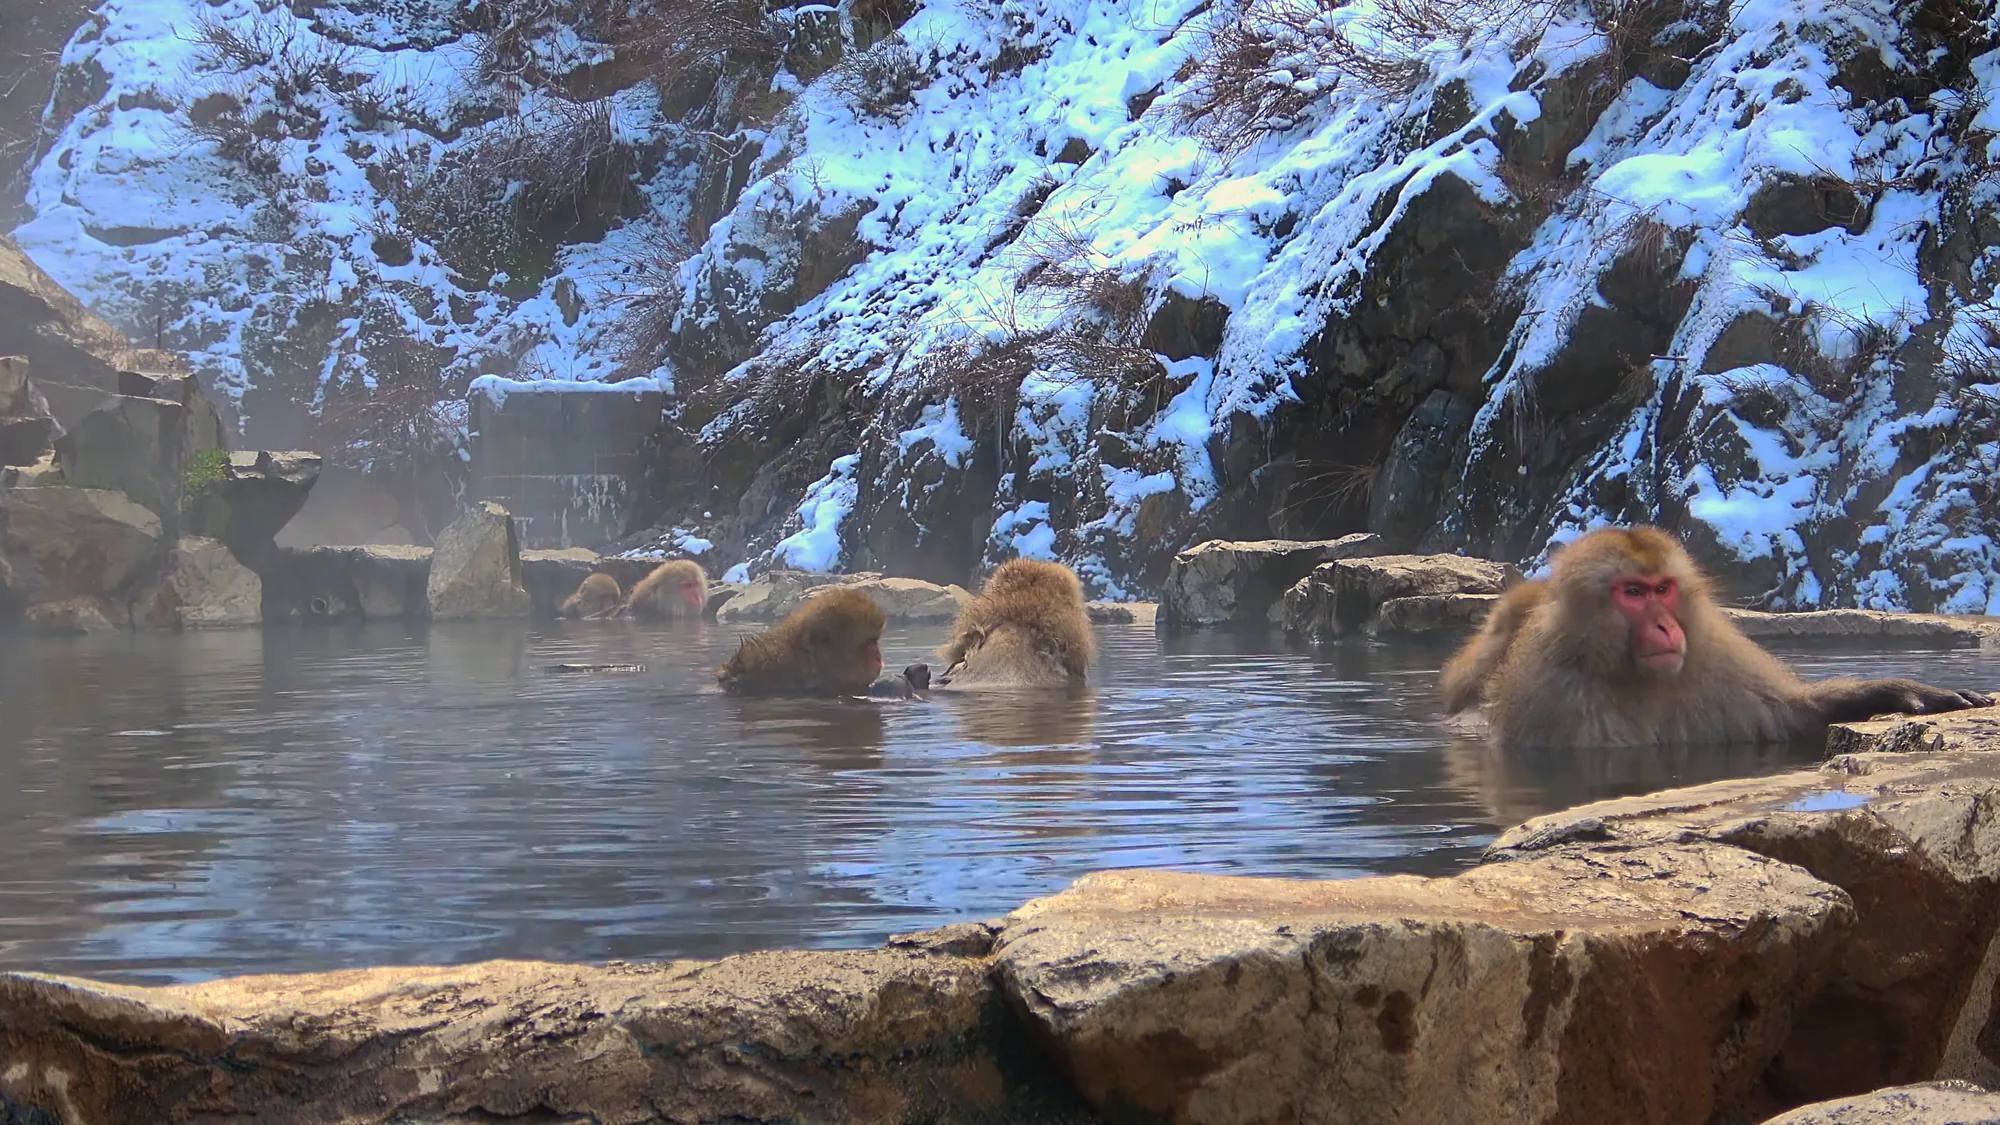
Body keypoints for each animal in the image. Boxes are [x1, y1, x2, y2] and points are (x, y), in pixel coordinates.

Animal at [1444, 525, 1993, 748]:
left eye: (1663, 589)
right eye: (1633, 593)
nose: (1666, 626)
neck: (1631, 678)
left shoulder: (1716, 668)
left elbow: (1793, 718)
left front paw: (1900, 691)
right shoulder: (1554, 700)